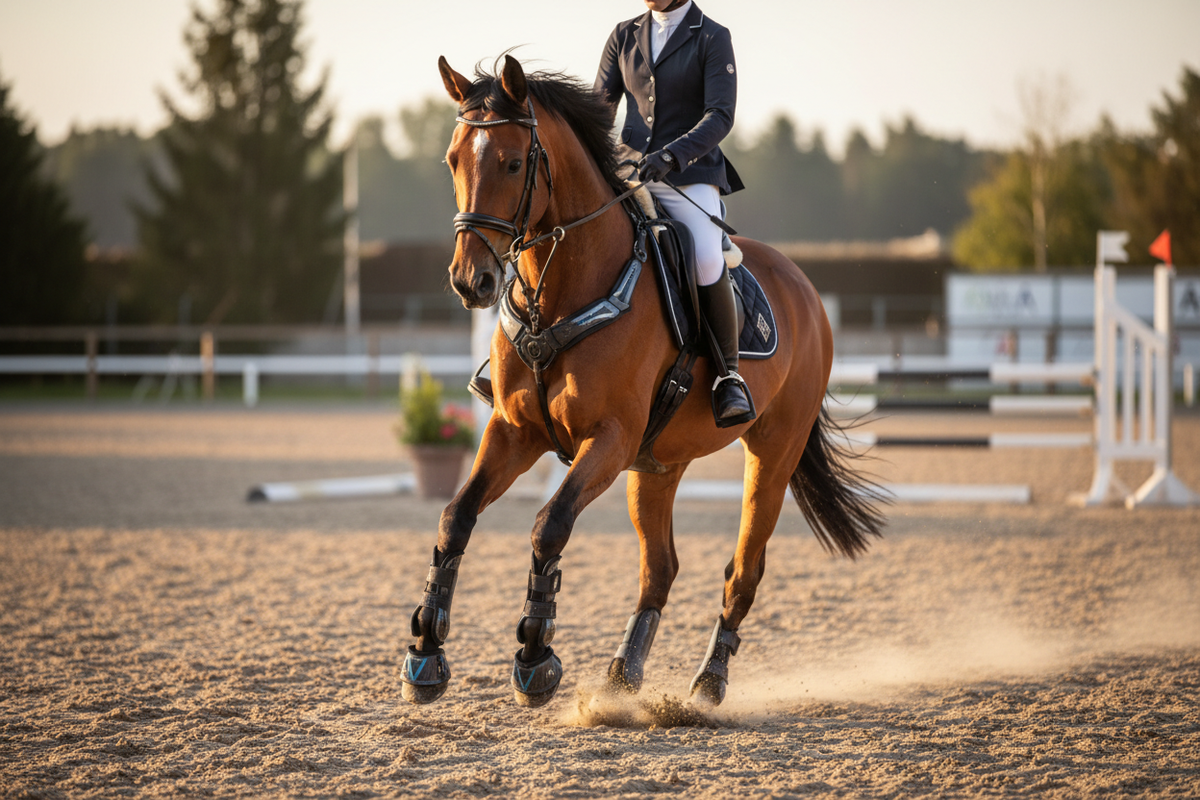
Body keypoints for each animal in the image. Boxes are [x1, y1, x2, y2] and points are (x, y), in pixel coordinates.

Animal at [400, 54, 886, 709]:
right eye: (453, 159)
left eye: (513, 162)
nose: (469, 281)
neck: (563, 291)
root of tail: (804, 287)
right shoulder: (514, 432)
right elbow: (456, 517)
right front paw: (426, 653)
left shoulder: (608, 438)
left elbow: (550, 526)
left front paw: (535, 658)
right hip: (656, 466)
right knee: (660, 568)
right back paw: (622, 677)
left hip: (771, 452)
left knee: (743, 571)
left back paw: (708, 682)